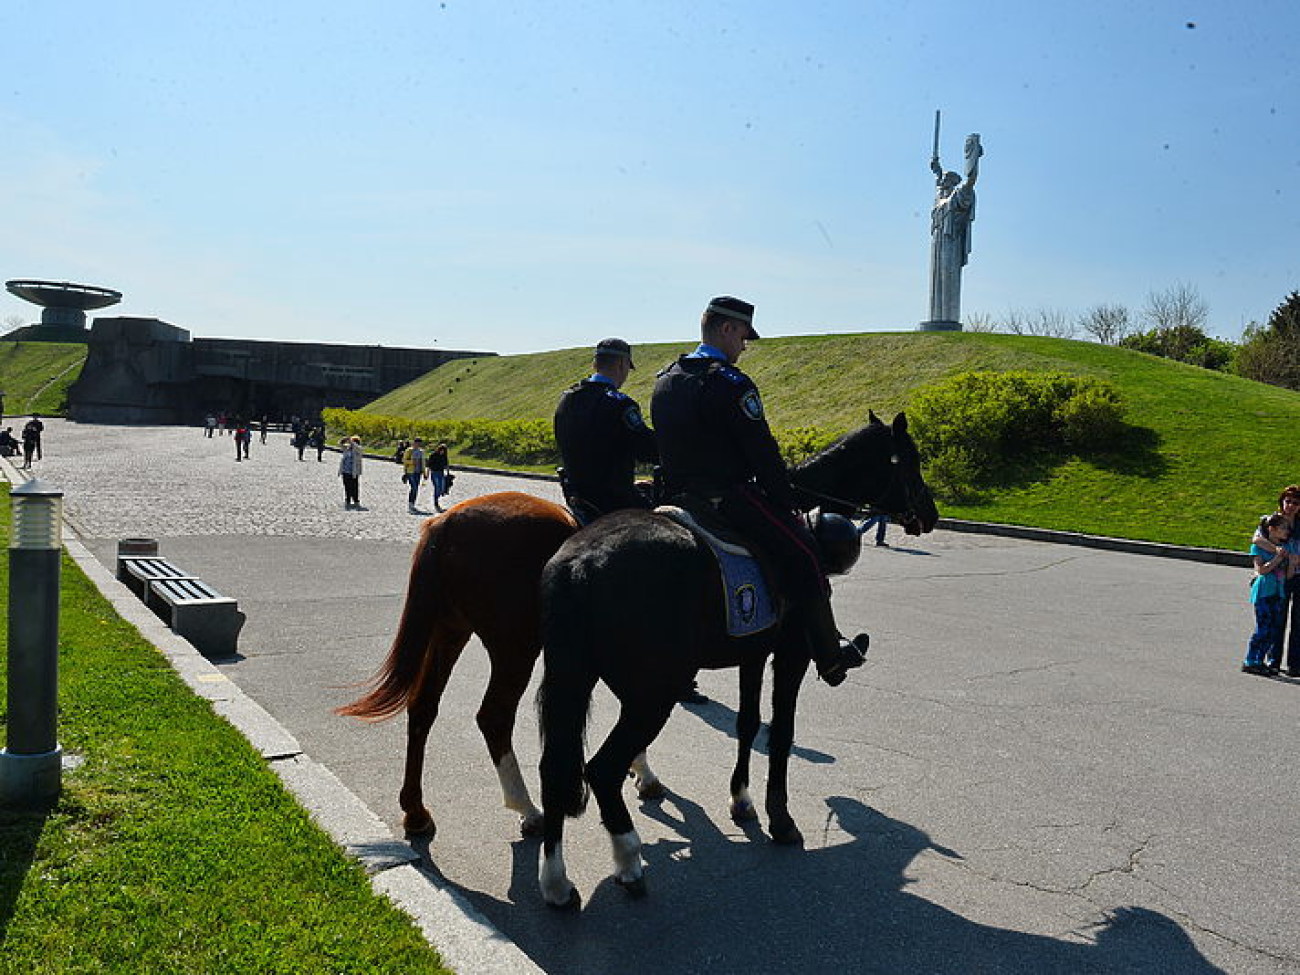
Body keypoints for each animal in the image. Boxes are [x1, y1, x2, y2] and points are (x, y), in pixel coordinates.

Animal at [533, 410, 941, 909]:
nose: (930, 513)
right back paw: (628, 859)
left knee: (555, 769)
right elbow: (781, 733)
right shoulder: (791, 653)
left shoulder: (753, 652)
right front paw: (780, 819)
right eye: (912, 460)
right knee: (602, 769)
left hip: (576, 681)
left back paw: (556, 880)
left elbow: (748, 724)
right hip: (654, 694)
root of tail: (578, 562)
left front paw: (742, 800)